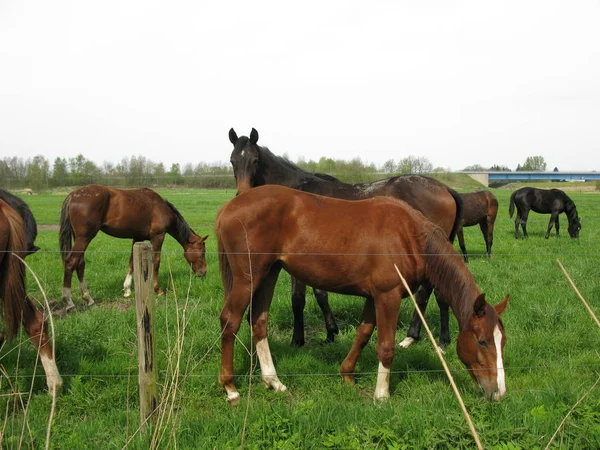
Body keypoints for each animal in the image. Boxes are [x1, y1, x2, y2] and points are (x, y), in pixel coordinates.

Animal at [59, 185, 209, 312]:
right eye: (202, 252)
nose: (203, 273)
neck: (161, 207)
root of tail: (72, 195)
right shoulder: (158, 237)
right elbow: (156, 262)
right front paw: (157, 290)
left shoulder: (137, 238)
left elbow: (131, 262)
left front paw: (127, 289)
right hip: (84, 238)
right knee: (71, 262)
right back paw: (69, 302)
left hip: (79, 238)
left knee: (80, 264)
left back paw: (88, 298)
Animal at [214, 185, 506, 402]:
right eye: (482, 341)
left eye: (502, 342)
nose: (498, 392)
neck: (409, 235)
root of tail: (229, 207)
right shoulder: (388, 296)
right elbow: (386, 346)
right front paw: (382, 395)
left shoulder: (372, 296)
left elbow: (363, 334)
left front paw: (347, 374)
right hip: (248, 278)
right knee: (230, 321)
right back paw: (230, 388)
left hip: (269, 273)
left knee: (258, 322)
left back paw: (273, 382)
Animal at [227, 128, 462, 350]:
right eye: (232, 161)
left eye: (254, 160)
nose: (242, 195)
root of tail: (445, 188)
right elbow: (320, 294)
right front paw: (330, 333)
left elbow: (299, 299)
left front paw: (299, 339)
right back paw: (427, 338)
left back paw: (427, 338)